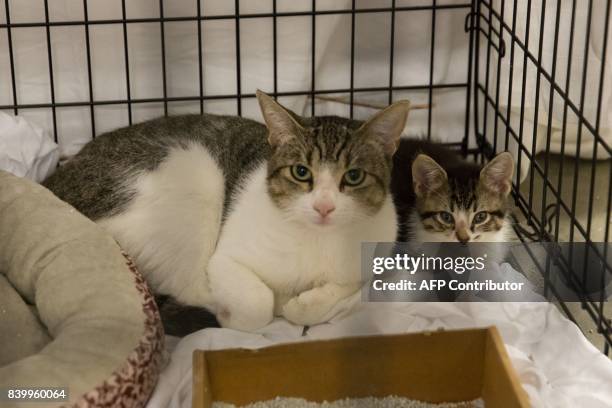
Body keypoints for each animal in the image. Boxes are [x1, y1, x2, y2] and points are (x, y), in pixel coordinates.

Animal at [43, 91, 412, 332]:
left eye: (354, 176)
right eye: (301, 172)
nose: (324, 206)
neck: (318, 241)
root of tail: (54, 184)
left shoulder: (376, 254)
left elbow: (349, 288)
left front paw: (307, 303)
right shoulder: (225, 259)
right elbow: (258, 304)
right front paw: (268, 306)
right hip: (195, 172)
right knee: (189, 286)